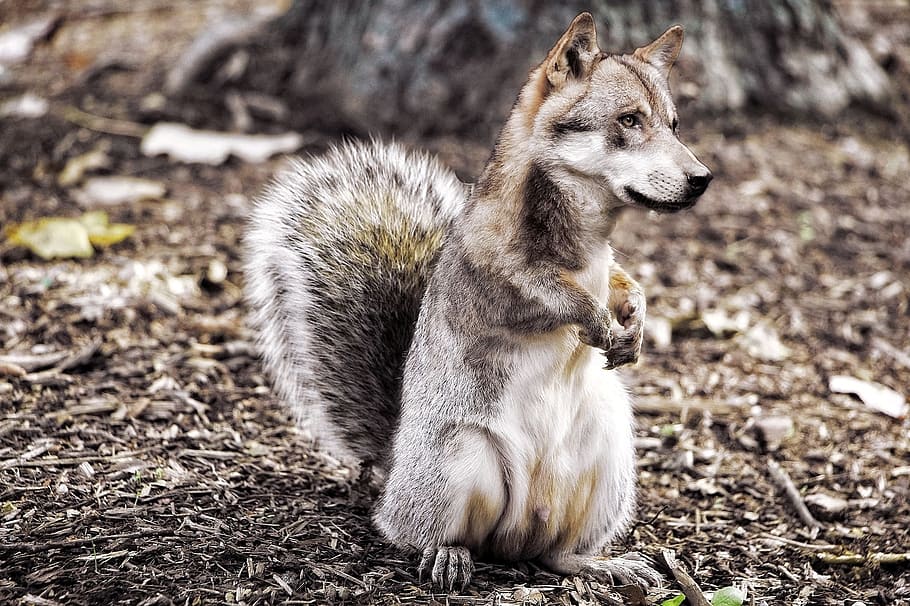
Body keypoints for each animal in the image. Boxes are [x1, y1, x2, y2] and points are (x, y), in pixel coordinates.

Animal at [244, 13, 711, 592]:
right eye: (627, 120)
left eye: (675, 123)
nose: (701, 179)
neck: (591, 229)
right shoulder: (493, 274)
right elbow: (548, 294)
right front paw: (599, 321)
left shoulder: (607, 266)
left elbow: (626, 282)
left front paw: (636, 321)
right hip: (457, 462)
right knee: (420, 533)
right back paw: (447, 554)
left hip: (607, 461)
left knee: (554, 554)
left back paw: (603, 563)